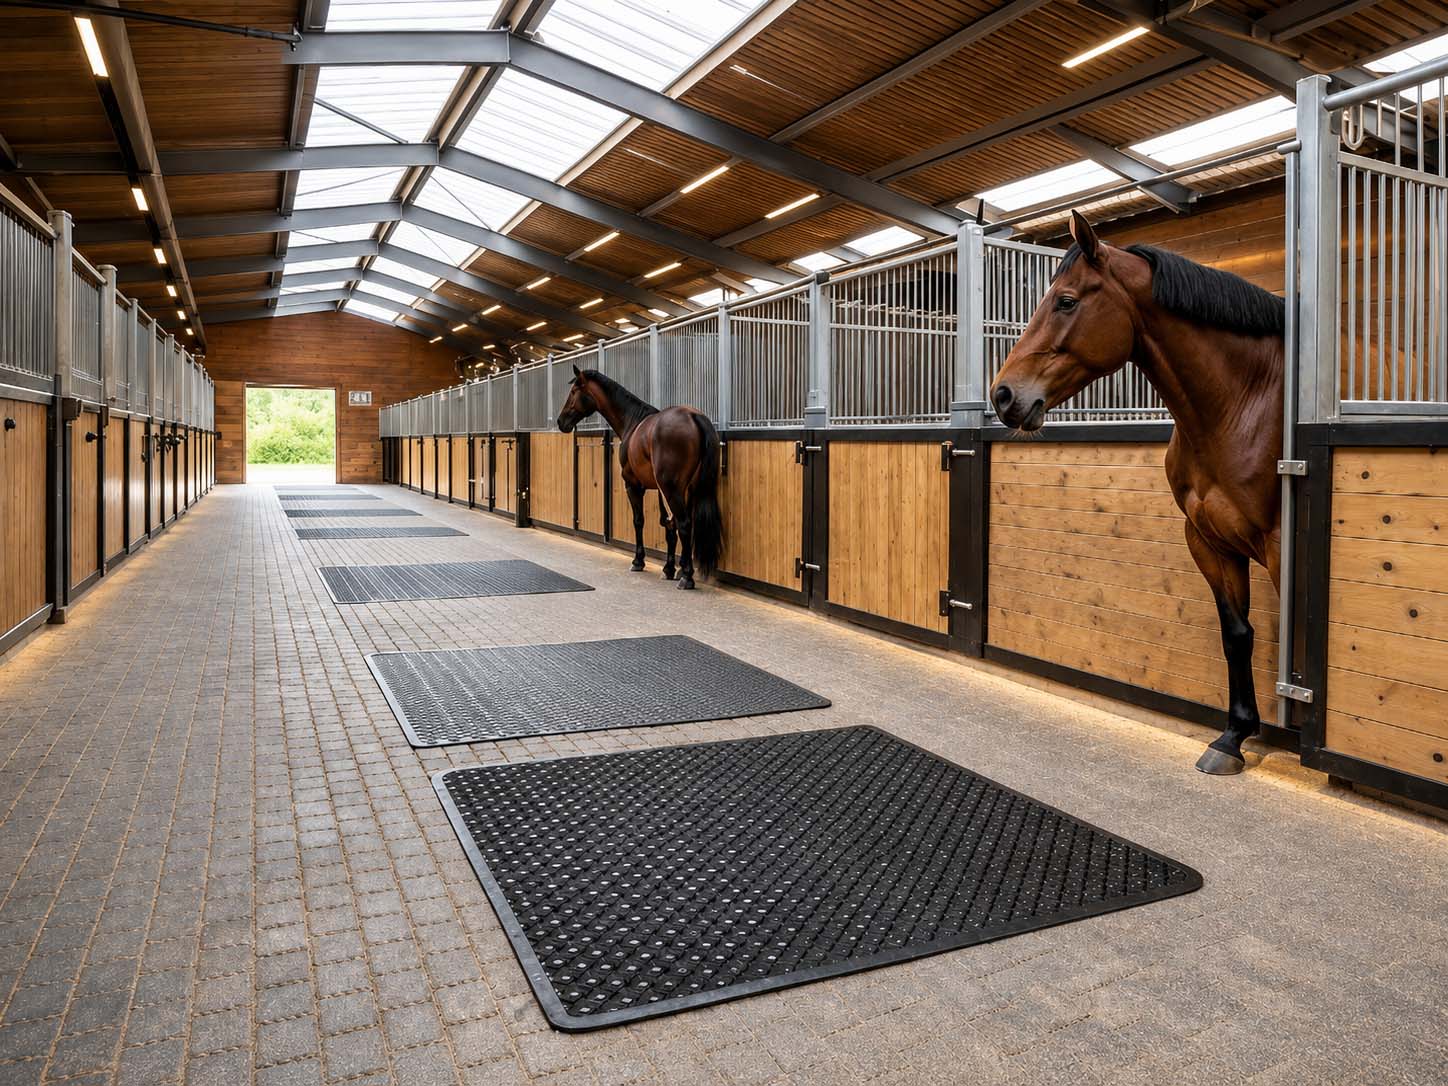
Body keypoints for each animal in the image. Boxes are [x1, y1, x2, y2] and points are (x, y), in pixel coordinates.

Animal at [556, 367, 723, 590]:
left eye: (574, 391)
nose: (561, 422)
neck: (632, 422)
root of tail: (694, 416)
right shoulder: (661, 490)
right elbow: (668, 525)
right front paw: (669, 569)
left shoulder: (634, 485)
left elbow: (639, 520)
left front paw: (638, 561)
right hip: (688, 489)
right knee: (685, 524)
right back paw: (684, 571)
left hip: (672, 489)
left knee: (685, 524)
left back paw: (687, 578)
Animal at [989, 211, 1284, 776]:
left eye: (1066, 301)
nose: (1002, 395)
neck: (1242, 403)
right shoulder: (1207, 540)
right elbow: (1237, 634)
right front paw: (1232, 737)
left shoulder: (1281, 547)